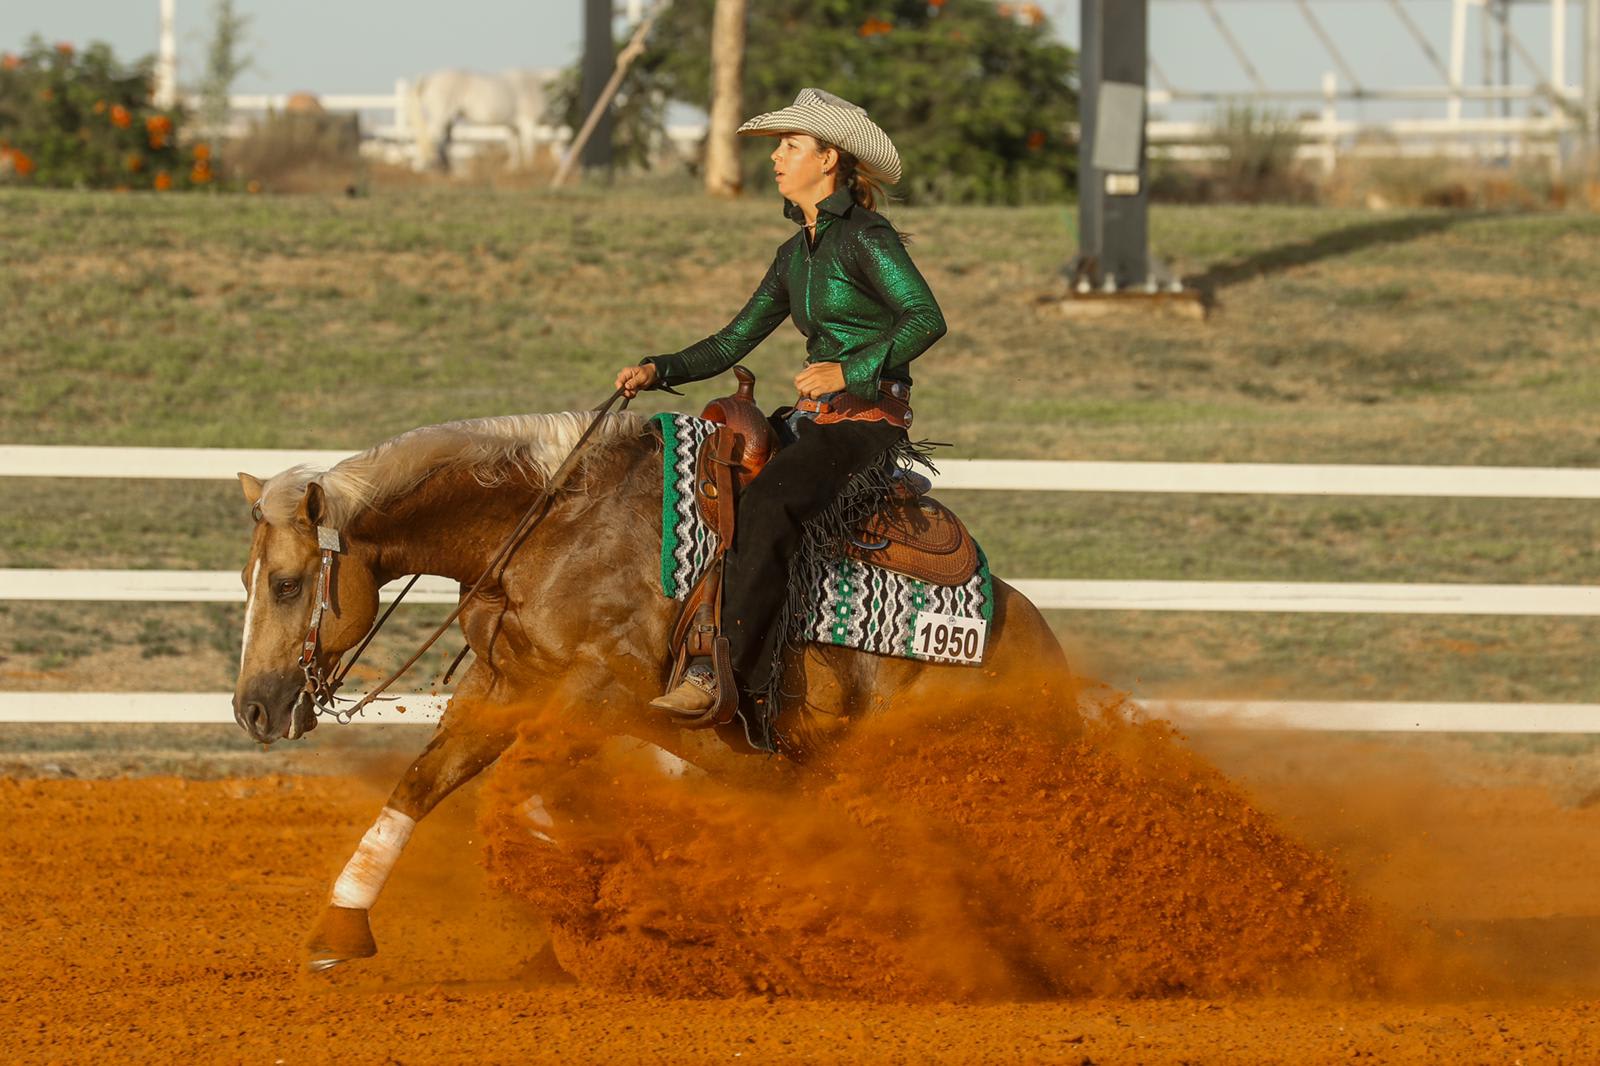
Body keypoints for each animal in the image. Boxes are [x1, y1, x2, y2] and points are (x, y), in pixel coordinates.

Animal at [232, 408, 1075, 973]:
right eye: (247, 578)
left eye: (286, 583)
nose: (253, 708)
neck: (554, 526)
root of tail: (1042, 653)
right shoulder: (505, 688)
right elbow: (421, 784)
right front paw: (340, 931)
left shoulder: (601, 693)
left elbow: (525, 792)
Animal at [406, 68, 556, 171]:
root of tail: (430, 79)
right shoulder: (527, 123)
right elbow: (528, 145)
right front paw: (528, 167)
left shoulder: (512, 126)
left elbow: (513, 145)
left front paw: (513, 166)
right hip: (441, 115)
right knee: (430, 135)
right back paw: (422, 164)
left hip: (448, 119)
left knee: (444, 139)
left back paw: (446, 165)